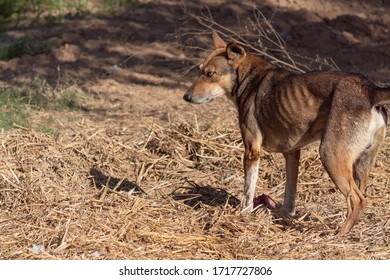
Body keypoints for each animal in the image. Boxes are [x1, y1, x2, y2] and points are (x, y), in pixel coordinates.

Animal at [183, 31, 390, 235]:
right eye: (200, 70)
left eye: (210, 74)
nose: (186, 97)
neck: (250, 78)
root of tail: (370, 89)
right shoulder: (292, 154)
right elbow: (290, 193)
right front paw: (285, 216)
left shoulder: (252, 151)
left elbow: (248, 190)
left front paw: (244, 214)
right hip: (361, 164)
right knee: (361, 195)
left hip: (331, 156)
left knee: (357, 200)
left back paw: (338, 235)